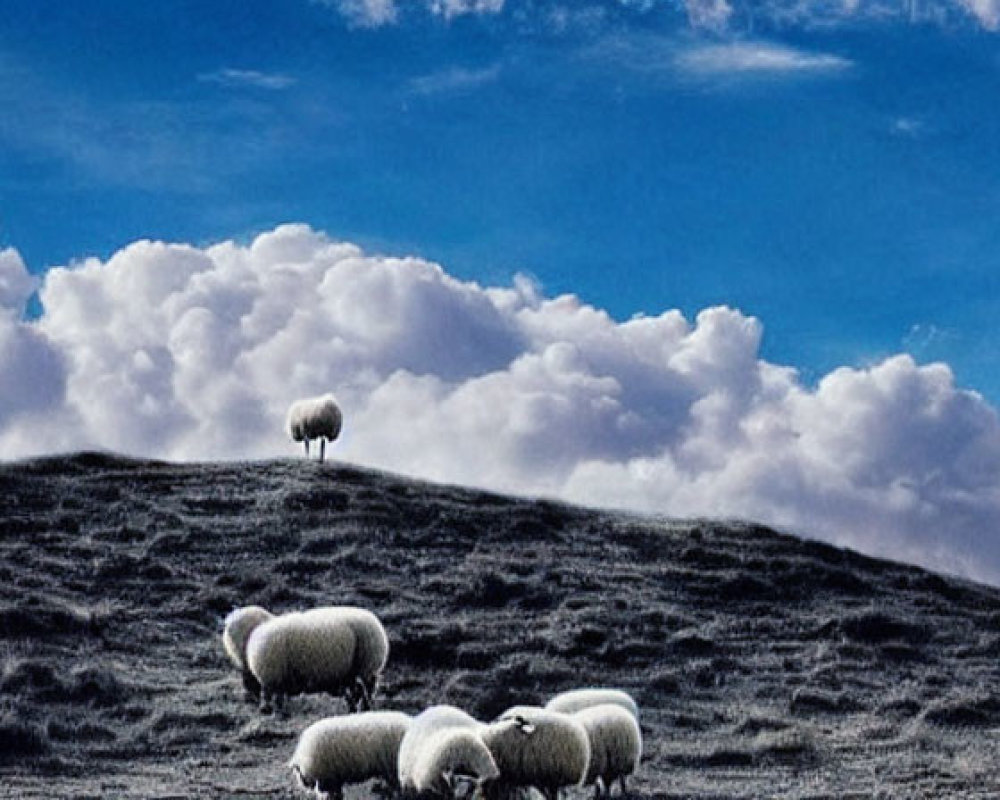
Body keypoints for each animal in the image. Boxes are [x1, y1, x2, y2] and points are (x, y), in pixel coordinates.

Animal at [232, 608, 388, 712]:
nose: (249, 701)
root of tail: (372, 618)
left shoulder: (274, 678)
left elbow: (274, 696)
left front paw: (274, 710)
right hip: (351, 671)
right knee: (357, 689)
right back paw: (354, 708)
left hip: (367, 666)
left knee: (368, 688)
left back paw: (366, 706)